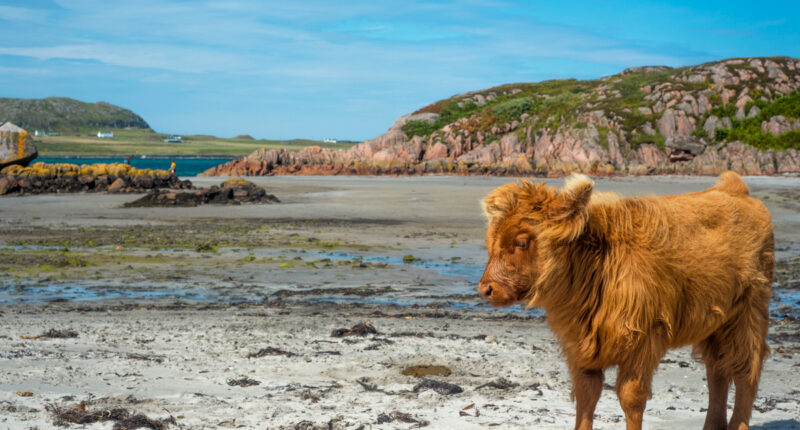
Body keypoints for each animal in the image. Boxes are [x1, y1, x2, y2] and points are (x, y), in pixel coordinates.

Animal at [478, 172, 772, 430]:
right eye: (490, 241)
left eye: (521, 242)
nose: (486, 289)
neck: (598, 264)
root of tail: (734, 189)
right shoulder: (580, 347)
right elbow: (586, 395)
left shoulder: (643, 341)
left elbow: (631, 398)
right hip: (716, 325)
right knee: (717, 371)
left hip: (748, 314)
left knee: (746, 370)